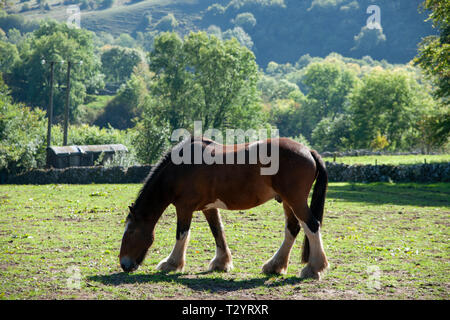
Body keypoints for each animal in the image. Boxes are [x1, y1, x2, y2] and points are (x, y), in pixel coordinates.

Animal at [119, 136, 328, 278]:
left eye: (130, 232)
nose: (124, 264)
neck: (181, 168)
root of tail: (308, 151)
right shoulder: (208, 208)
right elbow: (217, 231)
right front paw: (222, 262)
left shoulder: (184, 208)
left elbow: (182, 234)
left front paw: (172, 264)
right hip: (286, 201)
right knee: (292, 229)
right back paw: (275, 266)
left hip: (295, 200)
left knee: (311, 226)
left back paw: (313, 268)